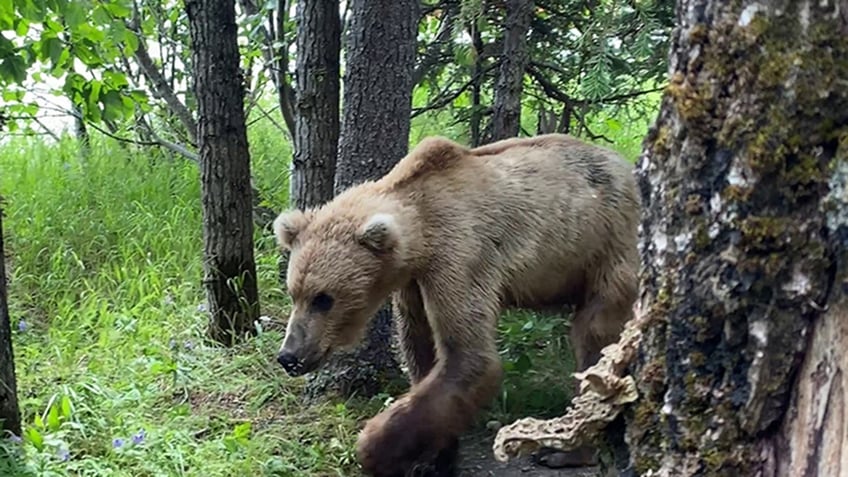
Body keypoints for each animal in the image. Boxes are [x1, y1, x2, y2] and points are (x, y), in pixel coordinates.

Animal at [274, 134, 640, 476]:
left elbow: (470, 358)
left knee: (593, 336)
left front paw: (372, 448)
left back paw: (564, 451)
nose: (289, 356)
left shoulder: (461, 258)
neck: (422, 234)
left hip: (607, 249)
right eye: (294, 293)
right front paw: (435, 457)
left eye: (324, 298)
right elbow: (424, 355)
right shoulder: (414, 285)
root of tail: (628, 167)